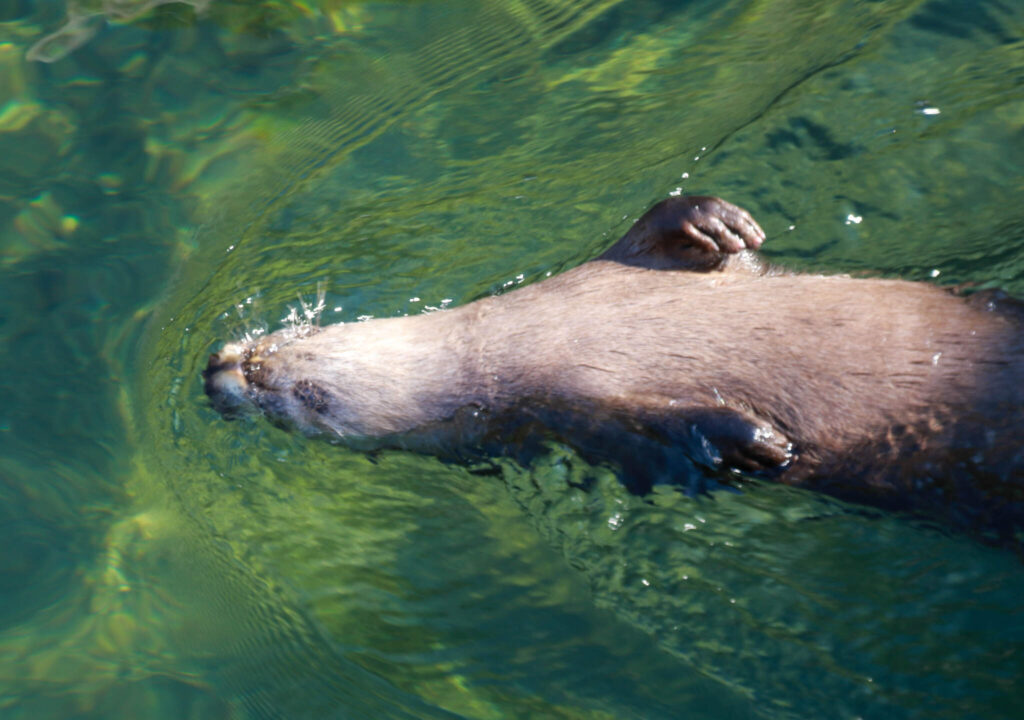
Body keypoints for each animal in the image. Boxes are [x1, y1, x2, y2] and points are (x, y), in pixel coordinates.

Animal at [203, 194, 1019, 536]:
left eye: (276, 363)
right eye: (280, 383)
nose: (219, 367)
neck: (539, 339)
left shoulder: (611, 272)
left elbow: (661, 233)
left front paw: (713, 219)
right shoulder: (585, 419)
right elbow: (667, 433)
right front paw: (752, 442)